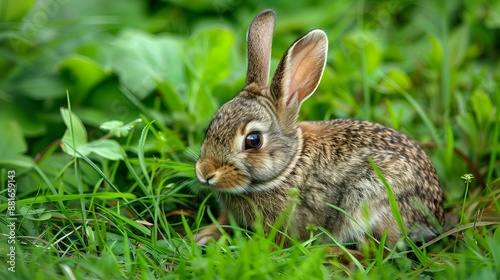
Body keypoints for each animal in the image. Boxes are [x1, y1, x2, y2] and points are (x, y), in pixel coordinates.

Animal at [193, 9, 444, 249]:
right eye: (213, 123)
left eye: (253, 140)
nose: (205, 172)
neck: (288, 168)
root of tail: (434, 214)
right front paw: (204, 235)